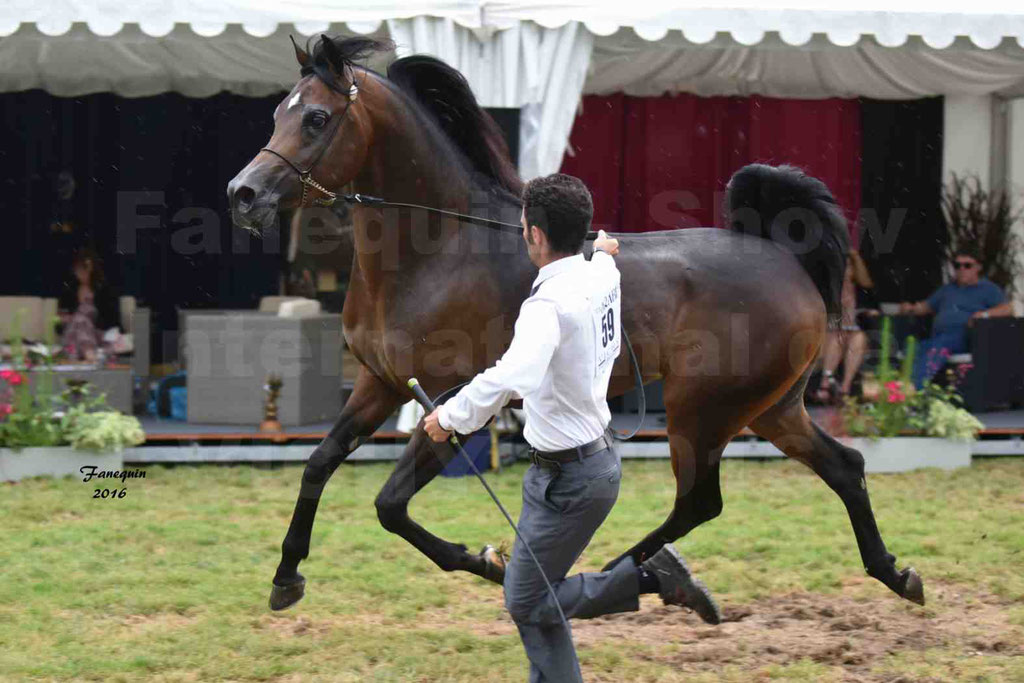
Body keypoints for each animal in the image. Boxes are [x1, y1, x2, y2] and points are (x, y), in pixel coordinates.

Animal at [226, 34, 929, 614]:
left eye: (317, 117)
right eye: (277, 112)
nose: (243, 194)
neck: (442, 250)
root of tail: (782, 254)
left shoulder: (456, 402)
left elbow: (390, 505)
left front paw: (488, 561)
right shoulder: (379, 384)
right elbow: (318, 463)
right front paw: (286, 577)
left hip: (702, 410)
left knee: (700, 502)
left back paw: (637, 575)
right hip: (773, 408)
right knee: (844, 466)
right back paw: (894, 572)